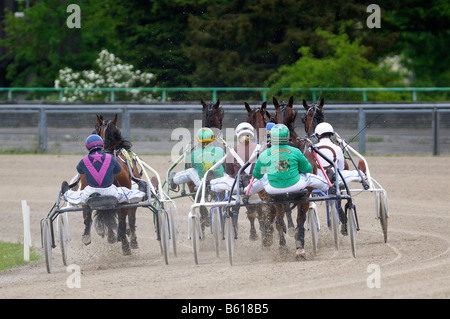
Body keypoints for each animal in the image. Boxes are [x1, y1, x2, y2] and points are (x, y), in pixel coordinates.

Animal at [83, 114, 142, 256]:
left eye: (96, 127)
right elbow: (130, 219)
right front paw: (130, 240)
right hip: (125, 199)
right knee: (123, 220)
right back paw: (125, 243)